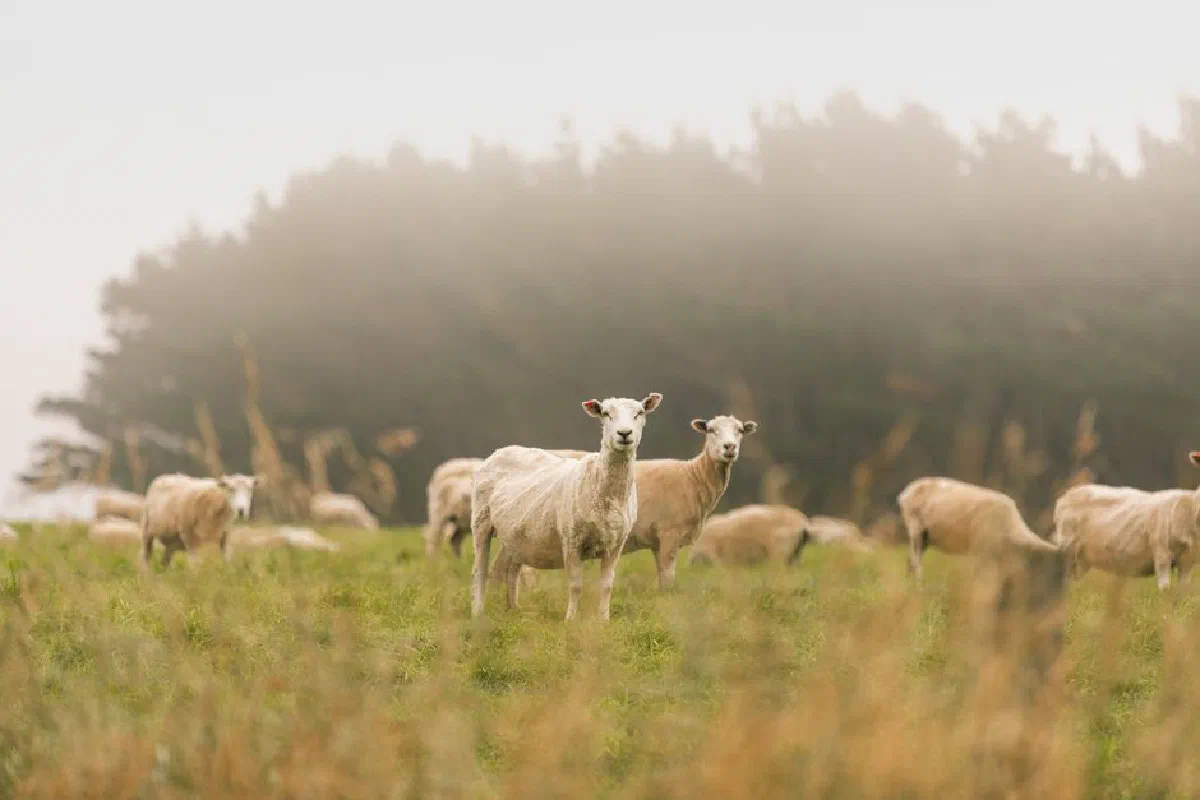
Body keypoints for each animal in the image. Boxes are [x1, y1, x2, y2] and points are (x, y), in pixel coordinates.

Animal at [471, 392, 663, 621]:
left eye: (639, 413)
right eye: (605, 413)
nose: (624, 434)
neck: (606, 491)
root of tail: (501, 450)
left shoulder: (615, 544)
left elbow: (607, 585)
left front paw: (604, 620)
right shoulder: (572, 539)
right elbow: (575, 585)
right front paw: (570, 619)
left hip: (515, 535)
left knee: (509, 569)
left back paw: (513, 609)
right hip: (481, 521)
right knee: (480, 570)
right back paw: (478, 612)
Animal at [489, 417, 757, 589]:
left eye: (740, 431)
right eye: (711, 430)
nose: (729, 447)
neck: (693, 477)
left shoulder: (657, 542)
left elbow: (663, 579)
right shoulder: (669, 533)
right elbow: (669, 579)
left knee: (502, 568)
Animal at [898, 477, 1058, 579]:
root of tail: (904, 494)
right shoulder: (981, 548)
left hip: (925, 536)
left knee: (910, 561)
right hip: (915, 528)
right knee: (915, 561)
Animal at [1052, 453, 1200, 590]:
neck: (1191, 507)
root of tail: (1063, 498)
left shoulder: (1189, 560)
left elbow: (1182, 590)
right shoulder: (1162, 550)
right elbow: (1165, 588)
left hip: (1082, 560)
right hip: (1067, 550)